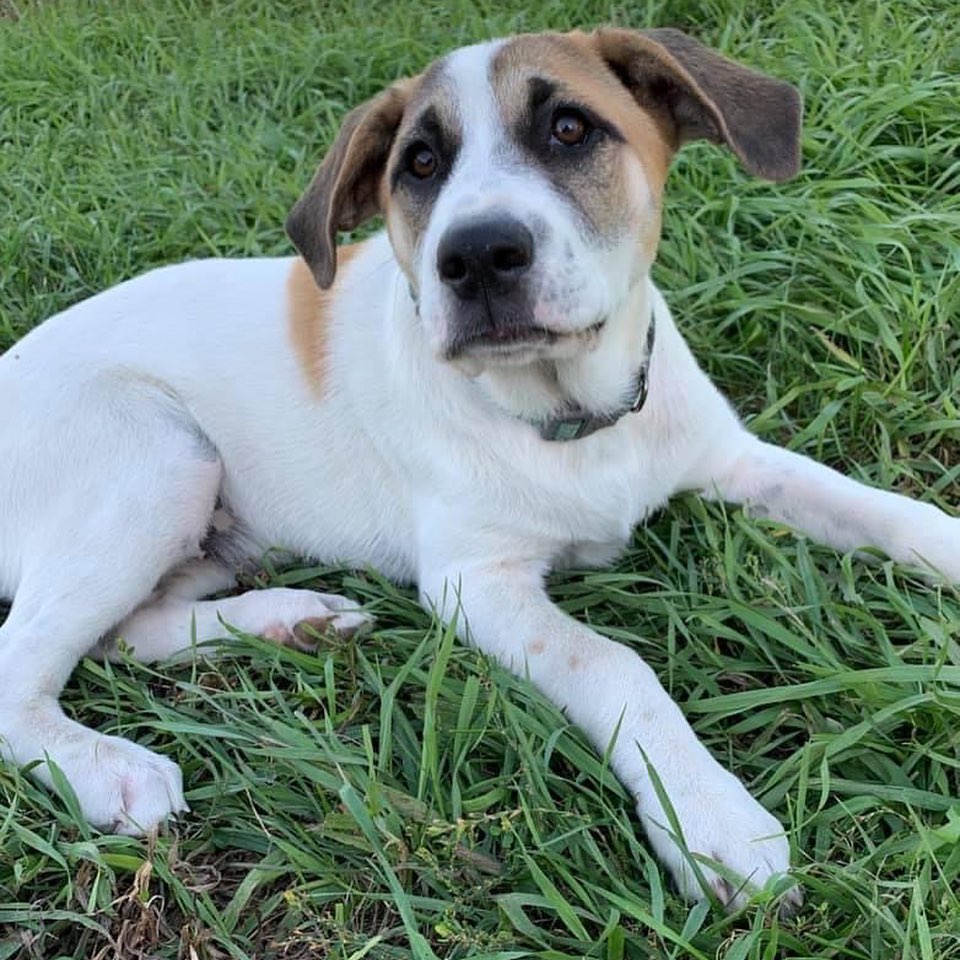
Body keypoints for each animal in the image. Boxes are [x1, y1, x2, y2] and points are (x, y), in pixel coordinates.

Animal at [1, 28, 960, 916]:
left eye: (570, 129)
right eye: (420, 164)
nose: (477, 255)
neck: (569, 419)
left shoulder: (730, 459)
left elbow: (882, 509)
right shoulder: (475, 583)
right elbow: (615, 664)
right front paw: (710, 817)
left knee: (123, 634)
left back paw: (291, 621)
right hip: (158, 460)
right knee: (22, 666)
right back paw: (108, 767)